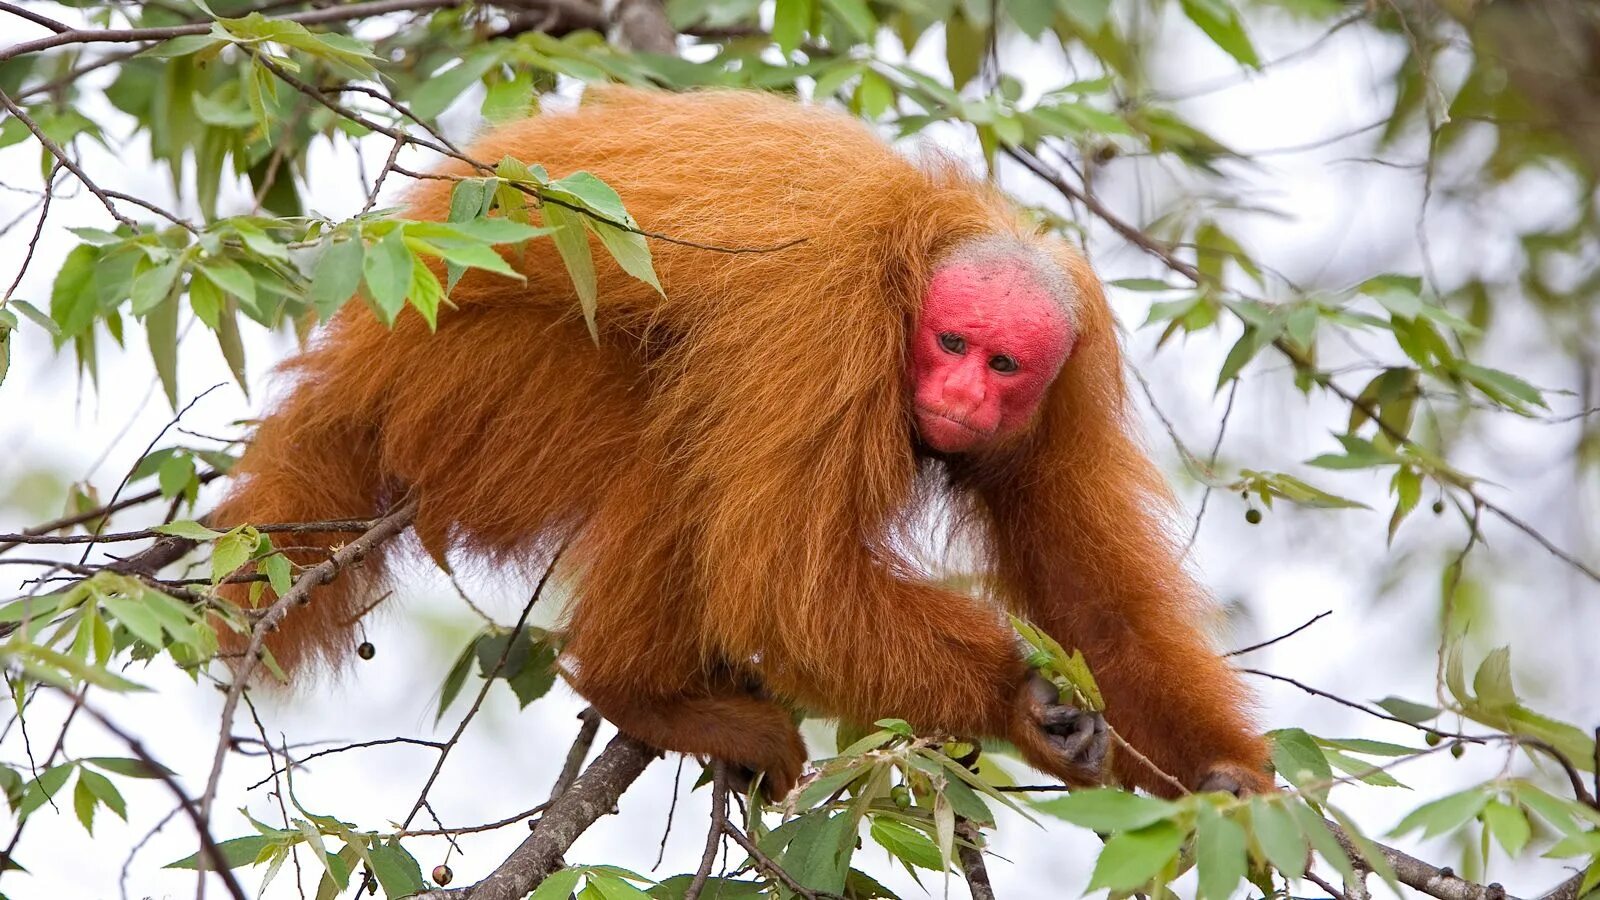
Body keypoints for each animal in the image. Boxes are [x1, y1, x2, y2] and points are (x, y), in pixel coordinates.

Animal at [212, 87, 1267, 794]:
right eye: (951, 344)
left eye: (1003, 364)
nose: (964, 393)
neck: (916, 263)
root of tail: (362, 345)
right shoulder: (828, 321)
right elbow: (785, 586)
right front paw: (1023, 703)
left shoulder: (1069, 379)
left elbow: (1102, 612)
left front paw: (1223, 778)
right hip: (463, 385)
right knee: (671, 426)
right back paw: (643, 691)